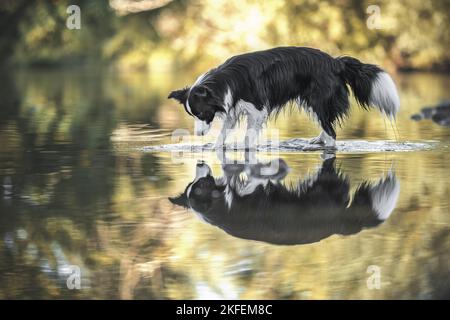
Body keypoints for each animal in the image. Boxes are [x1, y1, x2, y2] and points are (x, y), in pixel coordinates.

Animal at [167, 46, 400, 149]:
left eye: (201, 113)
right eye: (192, 115)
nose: (197, 135)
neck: (226, 80)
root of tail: (336, 62)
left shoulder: (258, 109)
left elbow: (248, 136)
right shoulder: (233, 109)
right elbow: (223, 134)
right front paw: (215, 147)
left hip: (318, 101)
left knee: (332, 132)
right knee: (327, 127)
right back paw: (318, 140)